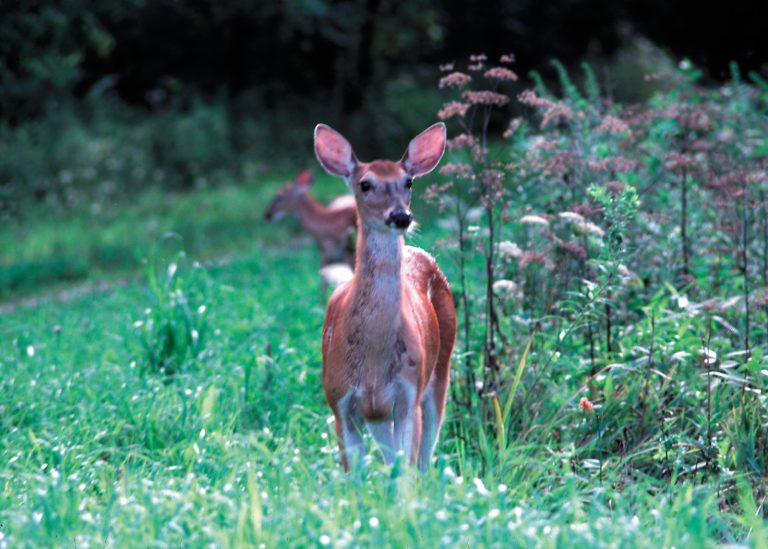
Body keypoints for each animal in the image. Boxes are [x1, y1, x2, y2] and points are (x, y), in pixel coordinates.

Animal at [314, 122, 457, 472]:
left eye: (408, 182)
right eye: (365, 184)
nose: (401, 216)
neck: (373, 367)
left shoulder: (408, 393)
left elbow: (408, 471)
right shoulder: (338, 399)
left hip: (439, 371)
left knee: (425, 456)